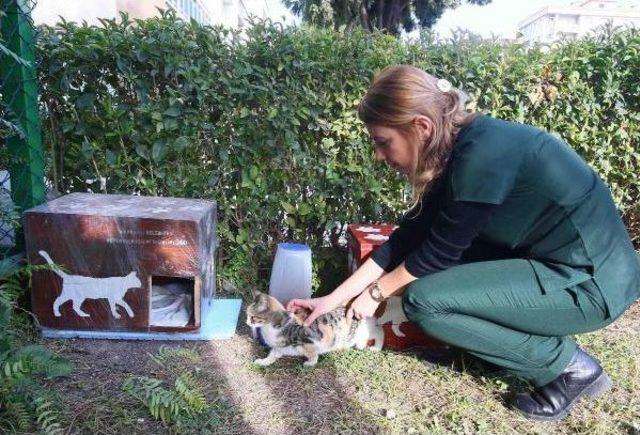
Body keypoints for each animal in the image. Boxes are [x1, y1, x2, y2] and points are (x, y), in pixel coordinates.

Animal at [248, 292, 382, 366]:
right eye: (247, 315)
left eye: (253, 317)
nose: (247, 322)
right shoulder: (279, 347)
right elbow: (272, 355)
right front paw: (263, 361)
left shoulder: (310, 339)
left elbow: (312, 353)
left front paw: (310, 363)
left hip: (360, 330)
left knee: (378, 330)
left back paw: (375, 346)